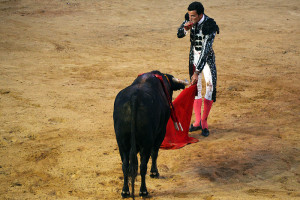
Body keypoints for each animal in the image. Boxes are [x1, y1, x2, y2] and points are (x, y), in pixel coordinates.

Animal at [113, 70, 188, 198]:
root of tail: (134, 98)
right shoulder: (161, 132)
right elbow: (155, 152)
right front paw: (154, 172)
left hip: (121, 142)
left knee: (125, 164)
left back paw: (125, 191)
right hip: (146, 141)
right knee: (143, 165)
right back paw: (143, 191)